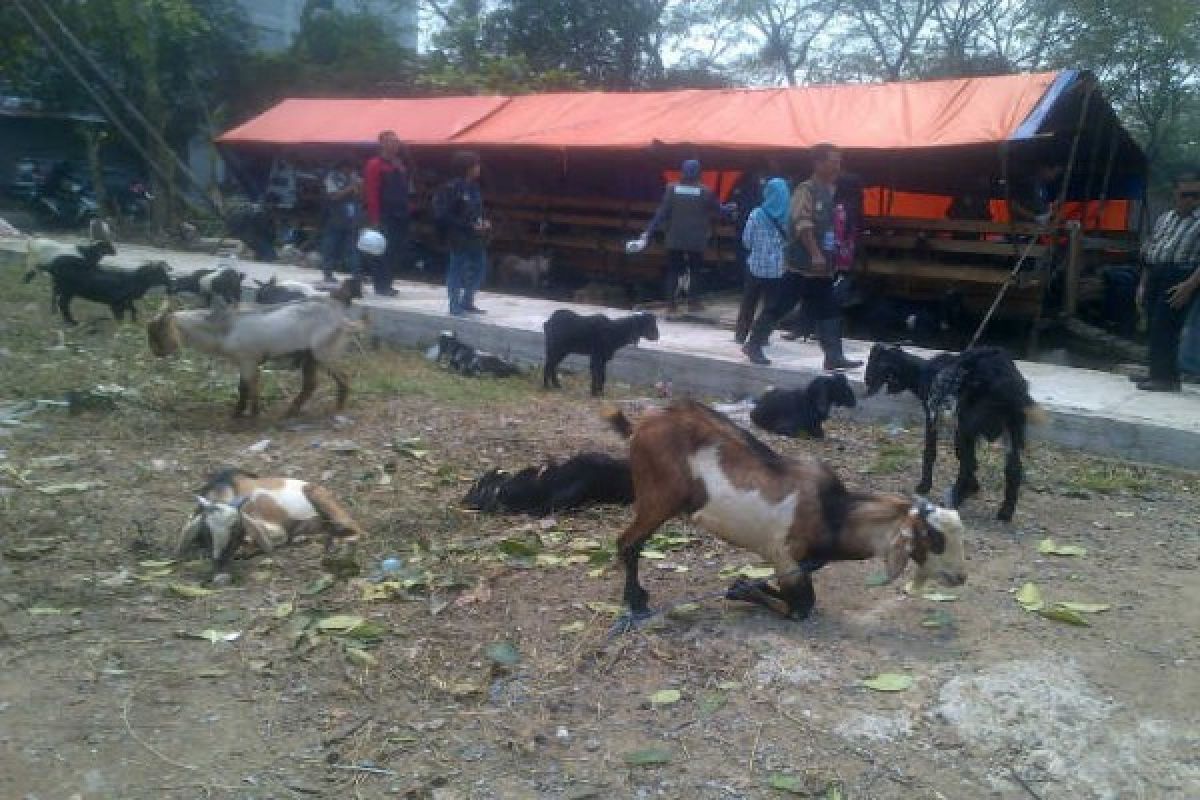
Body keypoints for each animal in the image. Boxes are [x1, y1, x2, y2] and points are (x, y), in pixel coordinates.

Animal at [147, 278, 360, 419]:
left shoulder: (247, 359)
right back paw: (291, 411)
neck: (224, 328)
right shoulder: (248, 362)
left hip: (324, 352)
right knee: (310, 385)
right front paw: (248, 411)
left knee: (343, 376)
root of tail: (337, 309)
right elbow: (249, 386)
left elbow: (246, 387)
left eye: (157, 334)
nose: (156, 353)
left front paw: (246, 413)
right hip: (309, 356)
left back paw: (338, 408)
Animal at [177, 465, 364, 578]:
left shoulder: (274, 528)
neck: (225, 488)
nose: (219, 560)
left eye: (236, 529)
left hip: (325, 503)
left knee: (355, 528)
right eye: (206, 530)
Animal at [604, 402, 969, 623]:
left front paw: (744, 584)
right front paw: (740, 589)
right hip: (658, 497)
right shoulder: (784, 557)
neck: (834, 514)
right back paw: (636, 603)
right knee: (627, 542)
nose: (961, 577)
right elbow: (801, 607)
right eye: (933, 537)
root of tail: (641, 425)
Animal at [868, 345, 1046, 525]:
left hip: (969, 424)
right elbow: (966, 457)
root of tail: (1008, 380)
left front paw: (924, 486)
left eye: (874, 365)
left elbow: (933, 452)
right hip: (1012, 430)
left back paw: (954, 499)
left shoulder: (934, 416)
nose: (867, 385)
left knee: (968, 464)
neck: (922, 372)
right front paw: (973, 487)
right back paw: (1005, 512)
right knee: (1013, 469)